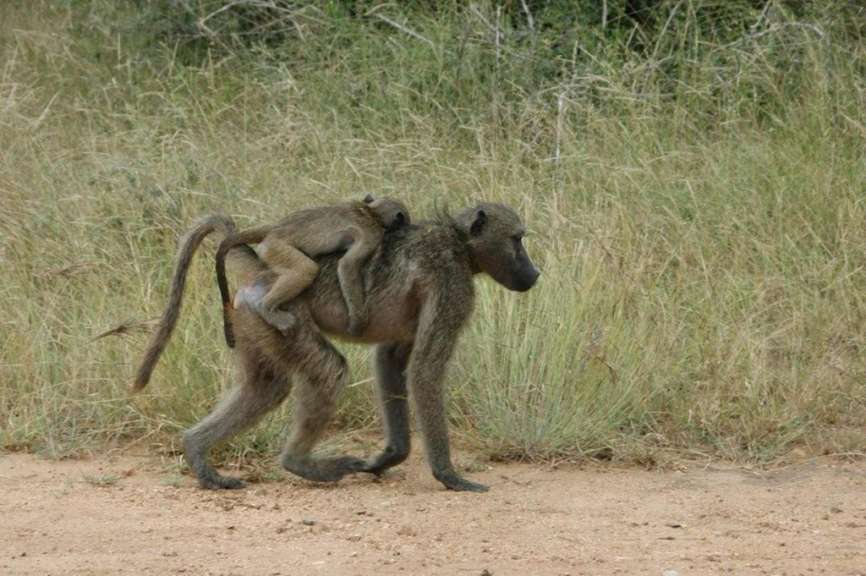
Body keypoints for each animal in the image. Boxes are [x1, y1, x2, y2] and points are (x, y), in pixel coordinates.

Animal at [215, 195, 410, 348]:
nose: (408, 225)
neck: (371, 211)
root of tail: (275, 228)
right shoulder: (372, 235)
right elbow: (347, 266)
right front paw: (357, 323)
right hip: (275, 248)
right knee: (306, 270)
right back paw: (266, 308)